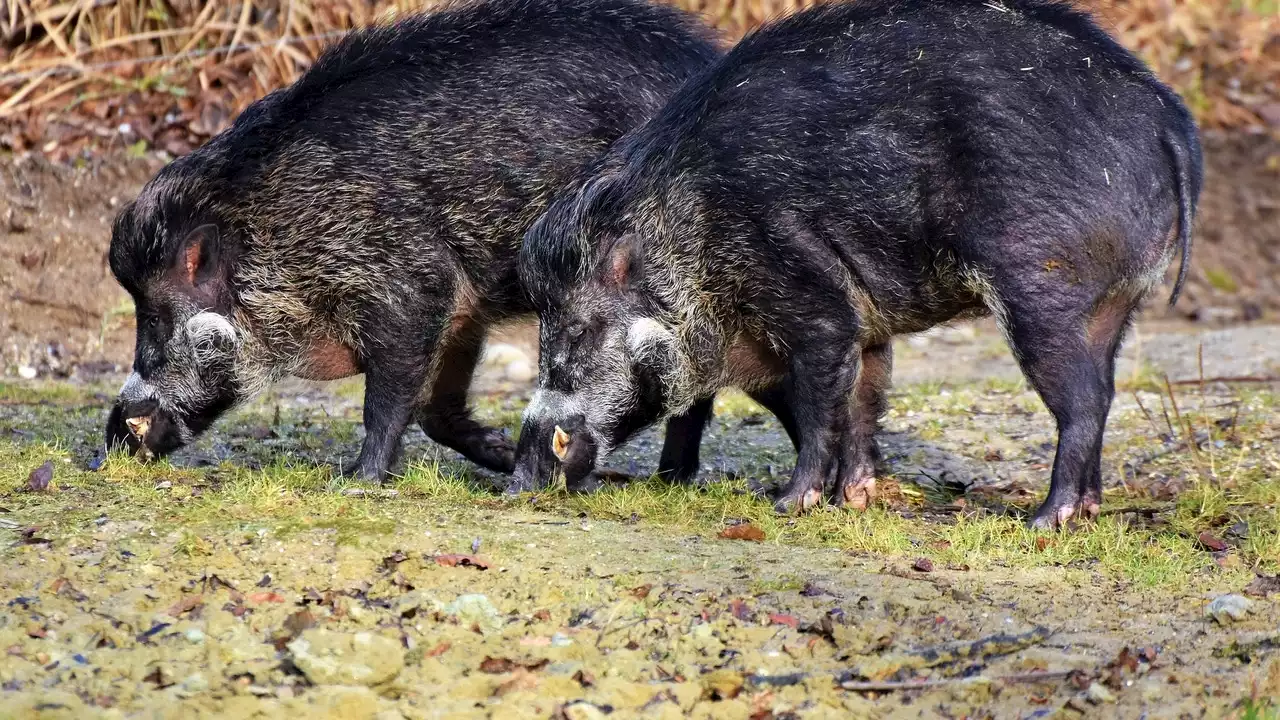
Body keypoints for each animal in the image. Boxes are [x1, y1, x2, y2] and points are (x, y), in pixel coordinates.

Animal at [106, 0, 737, 481]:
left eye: (157, 317)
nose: (110, 440)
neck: (276, 227)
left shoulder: (408, 285)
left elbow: (386, 400)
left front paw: (357, 480)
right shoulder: (462, 305)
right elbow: (437, 410)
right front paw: (501, 456)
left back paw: (666, 478)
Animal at [509, 0, 1198, 527]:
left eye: (576, 330)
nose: (517, 479)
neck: (690, 238)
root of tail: (1169, 117)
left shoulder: (812, 297)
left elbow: (821, 405)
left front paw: (790, 504)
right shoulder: (865, 327)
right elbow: (865, 399)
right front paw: (854, 500)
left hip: (1043, 288)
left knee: (1083, 401)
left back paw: (1046, 519)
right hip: (1115, 302)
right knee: (1105, 390)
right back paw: (1085, 510)